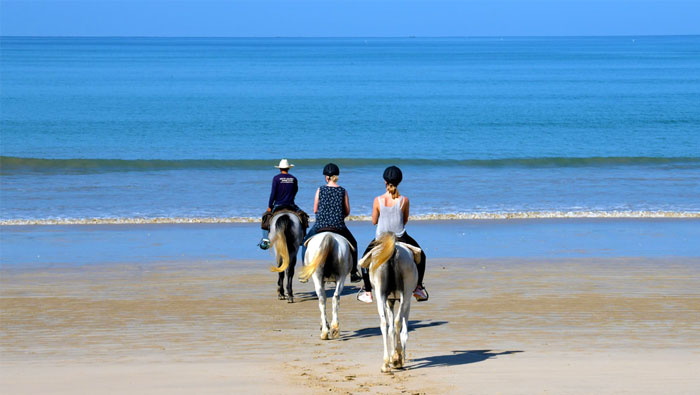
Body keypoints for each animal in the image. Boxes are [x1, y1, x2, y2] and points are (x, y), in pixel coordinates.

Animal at [360, 232, 422, 374]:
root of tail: (394, 251)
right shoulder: (406, 302)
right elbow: (403, 330)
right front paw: (399, 357)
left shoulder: (389, 301)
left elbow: (391, 329)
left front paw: (394, 357)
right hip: (405, 294)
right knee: (398, 322)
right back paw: (396, 359)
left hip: (380, 294)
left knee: (384, 324)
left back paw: (385, 364)